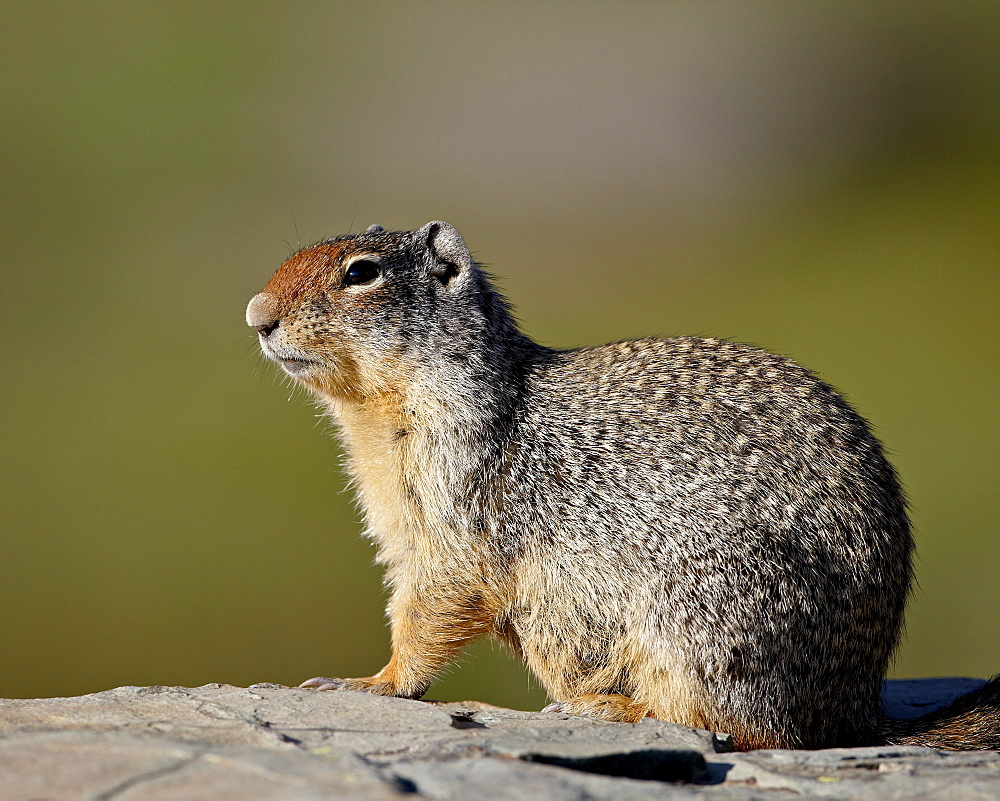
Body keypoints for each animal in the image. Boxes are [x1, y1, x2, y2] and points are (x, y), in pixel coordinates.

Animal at [246, 220, 996, 752]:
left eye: (361, 272)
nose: (256, 314)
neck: (381, 413)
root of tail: (857, 709)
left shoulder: (456, 496)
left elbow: (434, 604)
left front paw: (367, 682)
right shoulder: (403, 523)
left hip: (708, 610)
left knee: (751, 727)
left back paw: (604, 705)